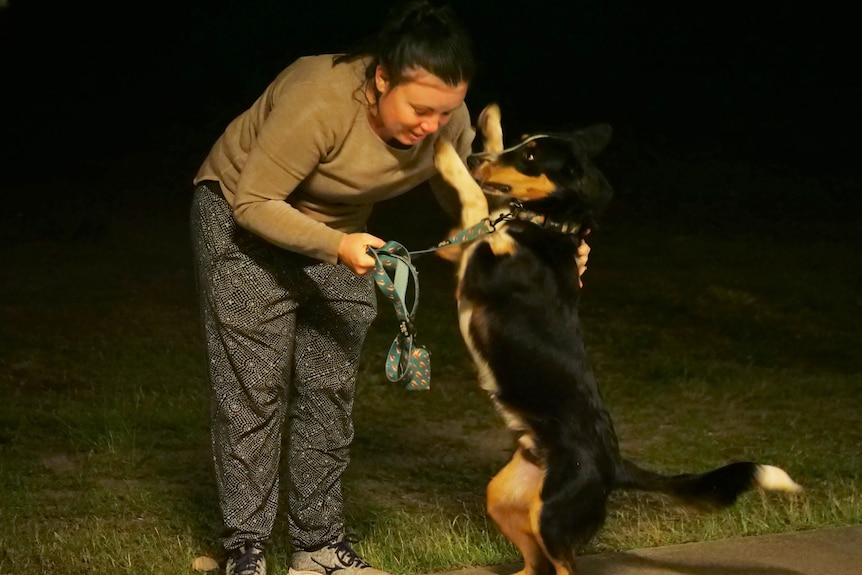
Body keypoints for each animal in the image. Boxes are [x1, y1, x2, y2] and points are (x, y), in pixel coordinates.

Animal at [432, 103, 804, 575]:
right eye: (522, 143)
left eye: (532, 157)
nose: (475, 157)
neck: (549, 227)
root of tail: (614, 465)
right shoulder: (458, 246)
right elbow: (486, 196)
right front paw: (487, 127)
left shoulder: (481, 260)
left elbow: (478, 199)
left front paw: (448, 156)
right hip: (506, 498)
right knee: (536, 565)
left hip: (553, 516)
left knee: (564, 567)